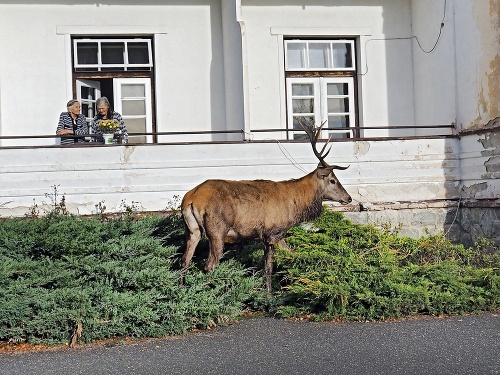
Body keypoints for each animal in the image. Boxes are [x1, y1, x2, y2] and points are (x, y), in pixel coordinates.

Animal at [181, 122, 352, 292]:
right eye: (332, 180)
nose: (348, 198)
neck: (295, 205)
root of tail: (191, 199)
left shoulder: (275, 235)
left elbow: (289, 254)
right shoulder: (272, 232)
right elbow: (269, 267)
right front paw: (269, 293)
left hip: (192, 230)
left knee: (184, 260)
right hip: (217, 230)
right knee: (209, 265)